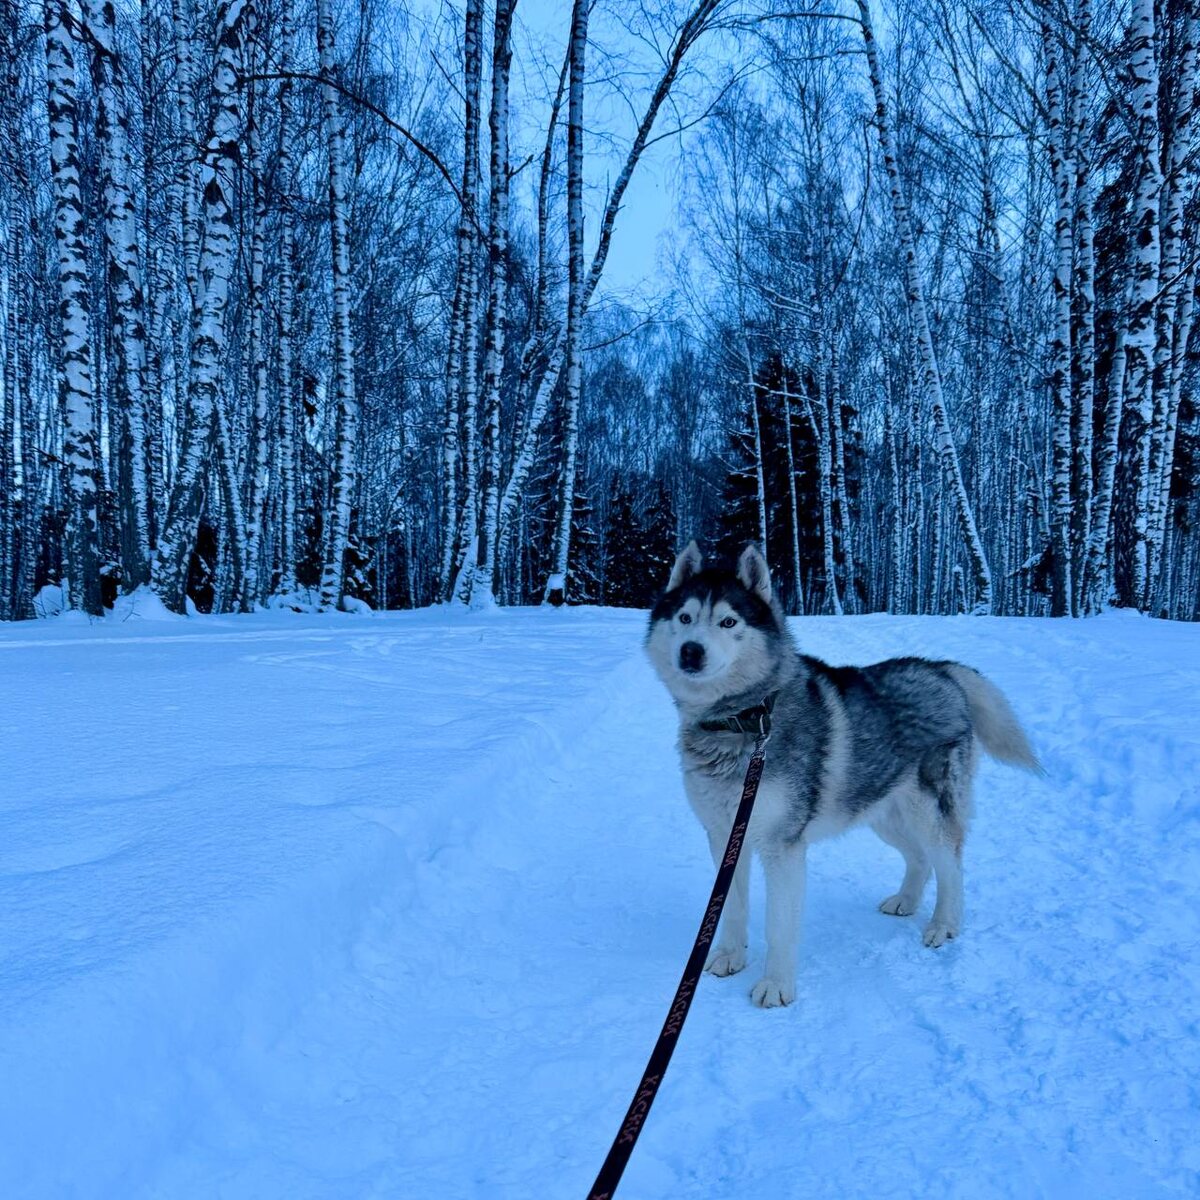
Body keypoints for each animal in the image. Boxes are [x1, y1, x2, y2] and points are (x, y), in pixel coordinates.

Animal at [645, 541, 1042, 1008]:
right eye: (684, 618)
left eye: (728, 622)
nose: (691, 650)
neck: (744, 720)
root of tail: (941, 669)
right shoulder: (725, 836)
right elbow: (733, 908)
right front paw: (729, 956)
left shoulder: (782, 847)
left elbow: (779, 925)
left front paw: (776, 985)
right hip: (883, 814)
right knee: (920, 858)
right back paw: (906, 901)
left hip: (928, 812)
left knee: (952, 867)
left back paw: (944, 925)